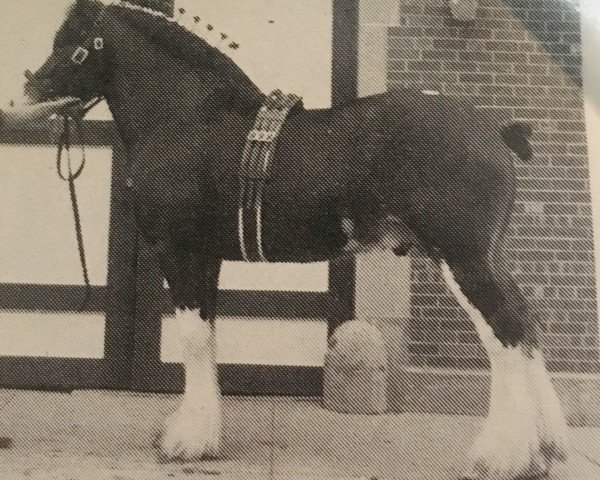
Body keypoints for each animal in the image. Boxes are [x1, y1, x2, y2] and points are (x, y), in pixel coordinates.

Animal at [24, 1, 568, 478]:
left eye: (73, 41)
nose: (31, 85)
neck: (188, 118)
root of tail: (495, 130)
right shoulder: (207, 257)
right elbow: (208, 335)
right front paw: (200, 434)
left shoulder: (179, 252)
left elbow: (194, 338)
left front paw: (186, 442)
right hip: (486, 258)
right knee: (527, 325)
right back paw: (545, 451)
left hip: (463, 257)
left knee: (505, 335)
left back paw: (501, 457)